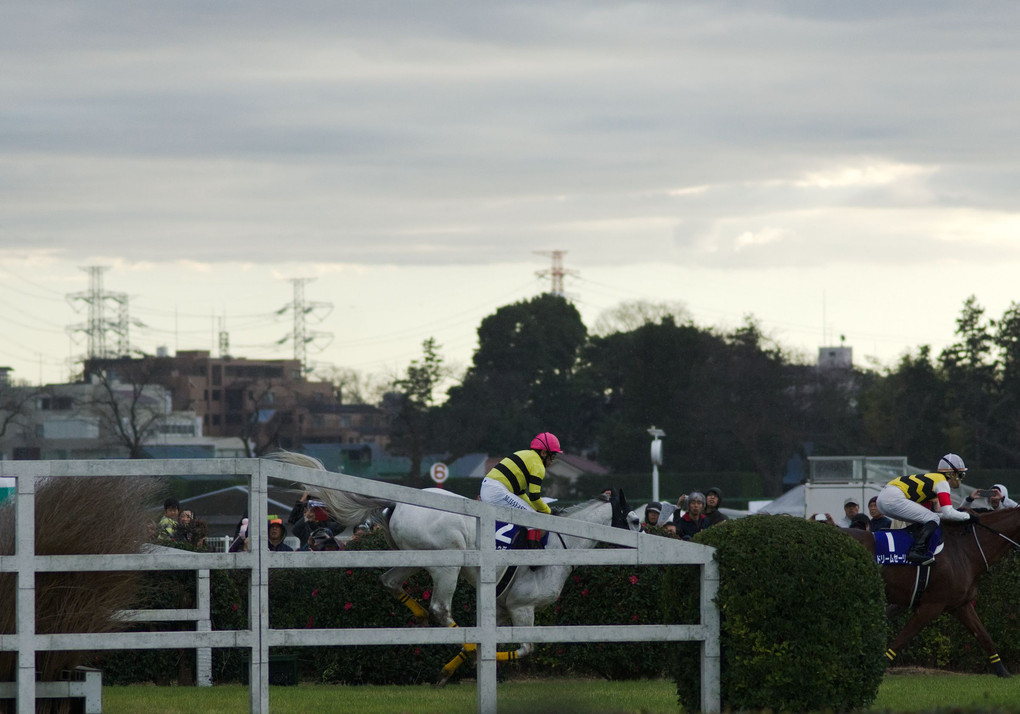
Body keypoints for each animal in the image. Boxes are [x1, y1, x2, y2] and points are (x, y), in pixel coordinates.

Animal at [271, 450, 636, 685]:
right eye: (633, 520)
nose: (645, 536)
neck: (561, 544)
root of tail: (397, 502)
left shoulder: (501, 607)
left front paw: (450, 670)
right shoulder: (522, 606)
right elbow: (526, 649)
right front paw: (471, 658)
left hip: (412, 558)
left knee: (390, 582)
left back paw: (420, 618)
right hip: (448, 563)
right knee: (441, 609)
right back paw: (456, 636)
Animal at [844, 503, 1020, 677]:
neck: (963, 550)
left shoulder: (960, 605)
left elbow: (984, 636)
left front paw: (1002, 671)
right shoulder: (932, 606)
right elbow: (901, 639)